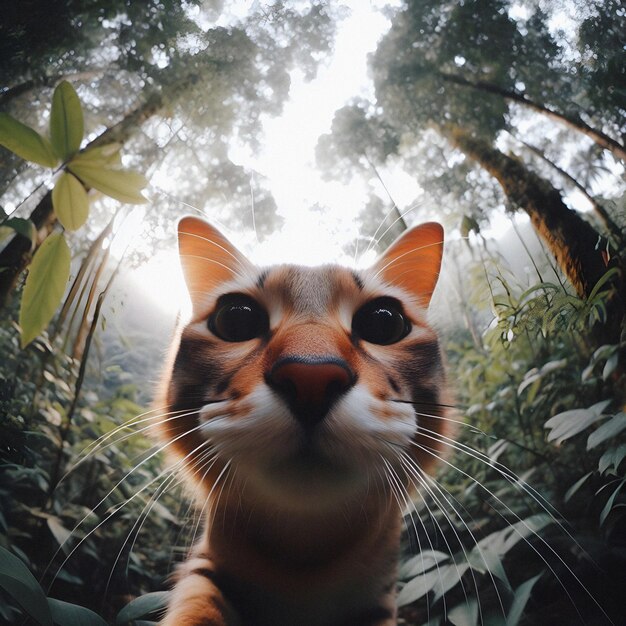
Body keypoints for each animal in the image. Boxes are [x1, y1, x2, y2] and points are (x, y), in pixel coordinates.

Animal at [155, 216, 448, 624]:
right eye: (235, 318)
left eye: (384, 322)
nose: (312, 377)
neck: (303, 555)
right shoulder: (206, 567)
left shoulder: (378, 601)